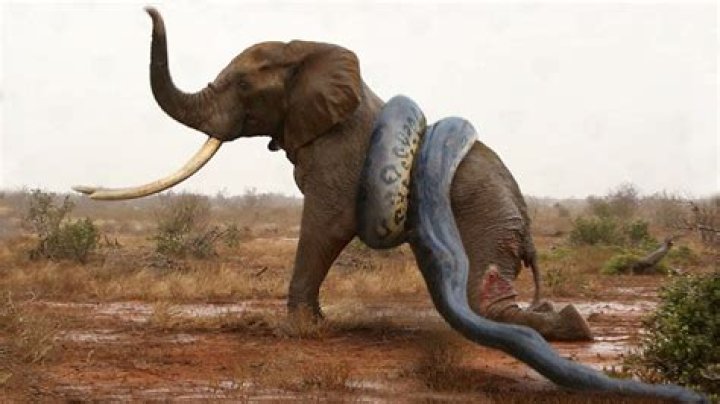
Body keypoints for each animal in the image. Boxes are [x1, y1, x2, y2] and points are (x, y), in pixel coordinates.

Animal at [74, 8, 704, 402]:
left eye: (246, 87)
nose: (147, 11)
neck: (314, 55)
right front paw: (315, 324)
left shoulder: (338, 153)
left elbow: (327, 223)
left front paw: (295, 330)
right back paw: (566, 324)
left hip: (484, 215)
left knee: (483, 296)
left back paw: (563, 326)